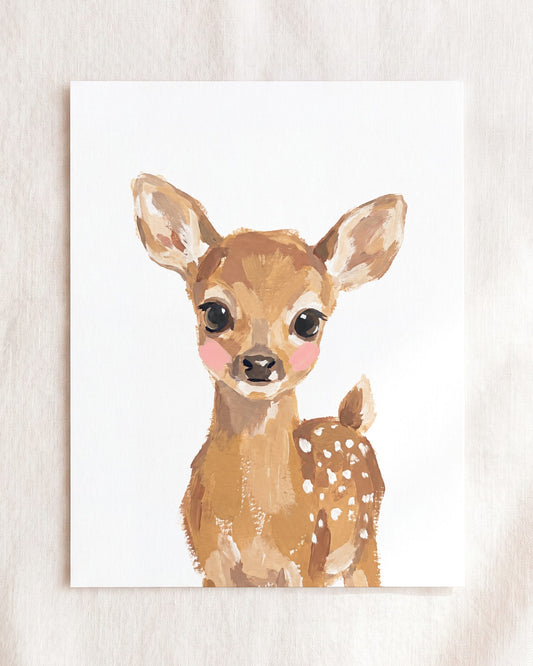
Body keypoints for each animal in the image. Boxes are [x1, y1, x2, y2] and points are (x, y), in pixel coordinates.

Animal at [132, 173, 406, 587]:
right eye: (214, 312)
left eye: (308, 320)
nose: (260, 362)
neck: (255, 524)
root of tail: (350, 423)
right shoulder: (211, 567)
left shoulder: (304, 564)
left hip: (364, 544)